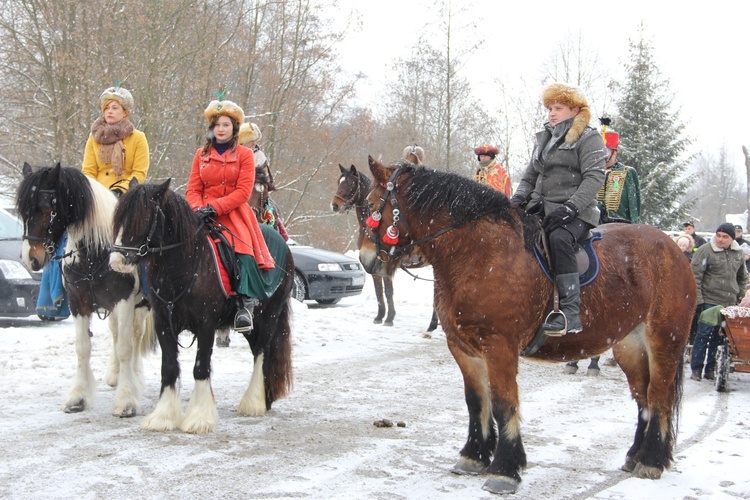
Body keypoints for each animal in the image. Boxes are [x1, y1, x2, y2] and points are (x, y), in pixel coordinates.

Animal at [360, 158, 700, 494]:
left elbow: (503, 404)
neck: (477, 252)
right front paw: (474, 455)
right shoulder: (463, 347)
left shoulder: (499, 346)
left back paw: (652, 460)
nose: (366, 260)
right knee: (643, 398)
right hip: (629, 345)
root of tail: (673, 248)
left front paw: (505, 469)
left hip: (665, 341)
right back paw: (635, 455)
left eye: (373, 206)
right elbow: (476, 401)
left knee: (659, 396)